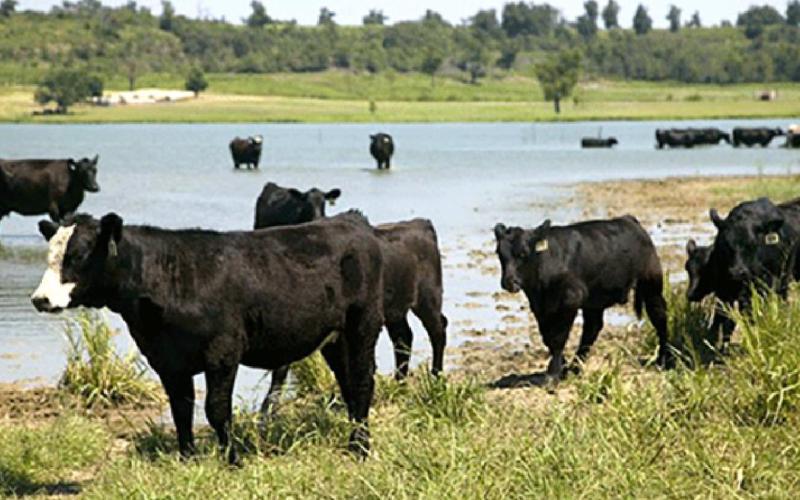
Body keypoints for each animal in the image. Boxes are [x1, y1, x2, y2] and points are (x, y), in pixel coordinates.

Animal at [31, 211, 385, 464]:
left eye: (78, 255)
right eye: (49, 256)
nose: (40, 299)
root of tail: (350, 220)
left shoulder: (223, 351)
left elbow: (216, 409)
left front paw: (233, 461)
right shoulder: (167, 359)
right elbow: (181, 409)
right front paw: (187, 459)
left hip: (363, 324)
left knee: (363, 382)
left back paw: (360, 449)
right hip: (334, 338)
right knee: (348, 384)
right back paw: (354, 439)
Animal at [494, 216, 671, 383]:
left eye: (523, 253)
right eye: (499, 254)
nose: (508, 282)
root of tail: (628, 219)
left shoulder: (570, 299)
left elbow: (558, 337)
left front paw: (553, 373)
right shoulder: (540, 307)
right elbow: (547, 337)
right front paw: (562, 367)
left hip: (651, 283)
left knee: (659, 315)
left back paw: (664, 359)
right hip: (594, 300)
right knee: (592, 328)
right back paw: (575, 367)